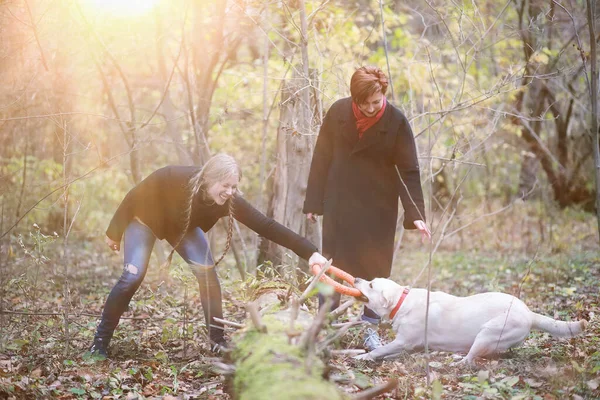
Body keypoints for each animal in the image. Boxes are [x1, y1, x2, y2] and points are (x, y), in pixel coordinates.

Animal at [352, 276, 584, 364]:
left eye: (371, 285)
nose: (355, 278)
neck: (402, 301)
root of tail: (528, 312)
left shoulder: (403, 341)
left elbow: (380, 350)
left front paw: (364, 357)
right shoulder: (408, 345)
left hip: (487, 333)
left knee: (471, 360)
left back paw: (458, 362)